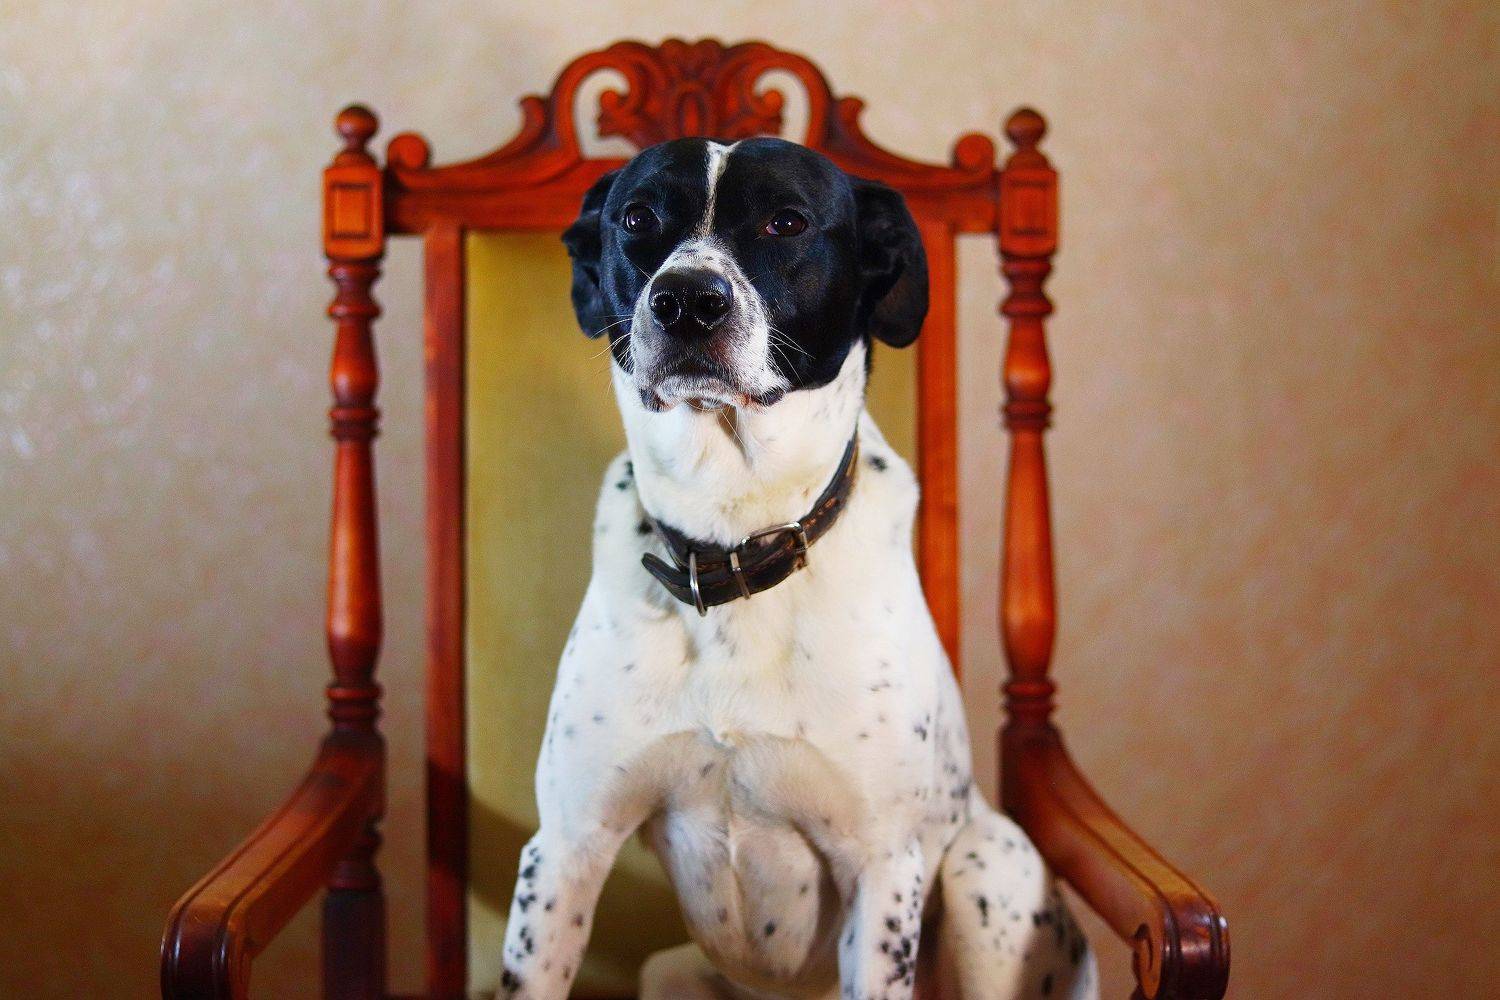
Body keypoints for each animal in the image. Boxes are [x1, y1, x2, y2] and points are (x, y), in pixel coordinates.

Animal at [494, 137, 1096, 1000]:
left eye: (787, 221)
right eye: (637, 218)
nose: (686, 301)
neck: (733, 544)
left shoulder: (884, 871)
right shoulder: (566, 848)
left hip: (990, 865)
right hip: (666, 970)